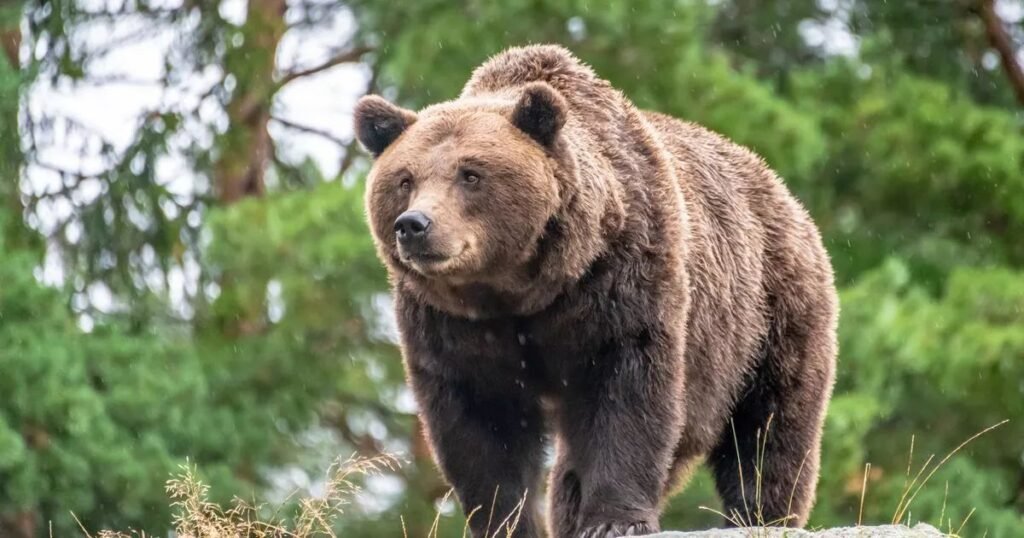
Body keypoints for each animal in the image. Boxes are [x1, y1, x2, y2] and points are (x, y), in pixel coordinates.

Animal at [354, 44, 837, 538]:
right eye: (405, 179)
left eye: (470, 174)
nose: (414, 225)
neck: (521, 289)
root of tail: (779, 188)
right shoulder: (451, 324)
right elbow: (481, 422)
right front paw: (506, 522)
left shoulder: (622, 281)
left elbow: (627, 392)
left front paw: (614, 520)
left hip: (768, 314)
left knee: (770, 425)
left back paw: (763, 514)